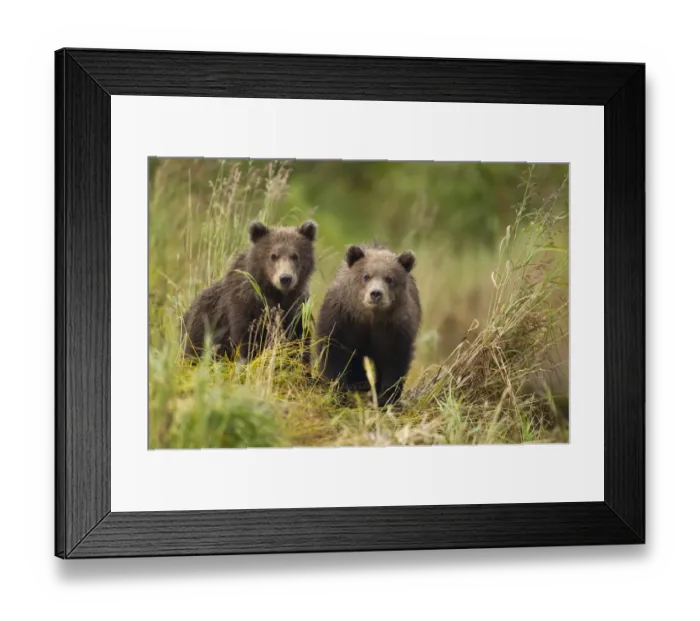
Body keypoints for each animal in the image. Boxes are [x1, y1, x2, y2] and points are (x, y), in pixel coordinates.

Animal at [181, 219, 318, 364]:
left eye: (295, 256)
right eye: (273, 256)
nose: (285, 278)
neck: (275, 293)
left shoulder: (297, 307)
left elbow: (299, 340)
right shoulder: (243, 303)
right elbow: (247, 340)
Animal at [316, 242, 421, 407]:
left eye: (389, 278)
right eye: (366, 276)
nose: (376, 293)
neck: (369, 319)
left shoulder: (394, 330)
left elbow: (394, 363)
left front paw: (385, 397)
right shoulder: (342, 320)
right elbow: (332, 351)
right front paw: (338, 388)